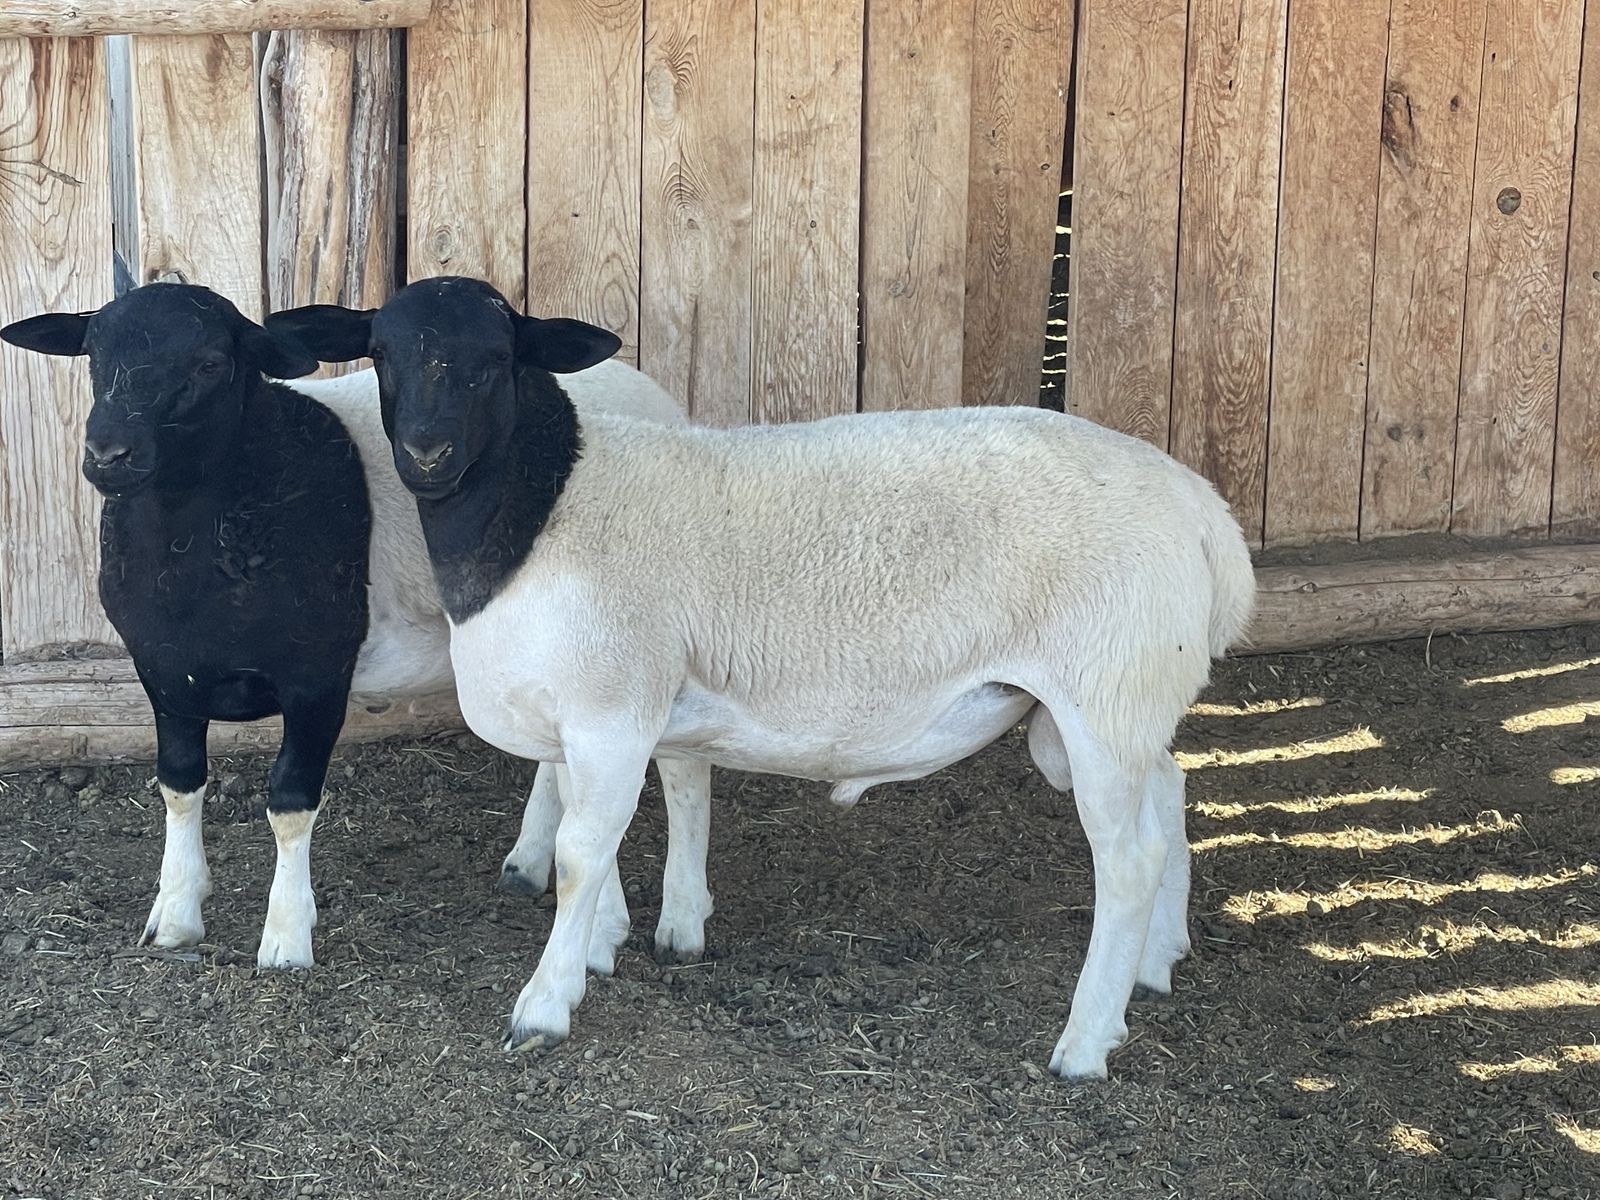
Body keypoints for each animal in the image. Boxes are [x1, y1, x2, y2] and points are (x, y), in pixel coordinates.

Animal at [0, 282, 714, 972]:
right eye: (94, 356)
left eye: (209, 364)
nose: (107, 454)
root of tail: (648, 387)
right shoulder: (165, 673)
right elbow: (178, 784)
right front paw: (175, 914)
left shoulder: (318, 676)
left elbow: (290, 801)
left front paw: (287, 939)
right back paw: (529, 863)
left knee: (681, 769)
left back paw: (678, 921)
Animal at [267, 274, 1255, 1081]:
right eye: (380, 351)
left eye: (497, 358)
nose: (426, 453)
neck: (544, 508)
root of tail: (1208, 517)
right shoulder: (615, 710)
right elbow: (627, 822)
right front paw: (618, 944)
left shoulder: (612, 707)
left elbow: (584, 852)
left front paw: (546, 1005)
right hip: (1113, 705)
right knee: (1169, 792)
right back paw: (1156, 965)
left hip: (1104, 691)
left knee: (1127, 862)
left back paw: (1084, 1043)